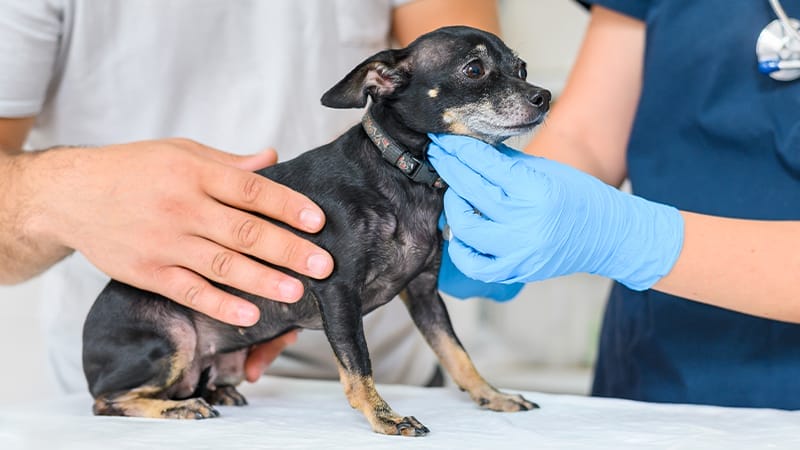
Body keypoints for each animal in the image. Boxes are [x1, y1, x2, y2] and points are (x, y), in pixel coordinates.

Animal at [84, 25, 552, 436]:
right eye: (474, 70)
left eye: (522, 68)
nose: (544, 96)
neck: (404, 175)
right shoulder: (338, 291)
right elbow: (359, 366)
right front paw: (385, 417)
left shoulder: (424, 294)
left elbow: (457, 353)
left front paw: (492, 395)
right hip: (174, 341)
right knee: (105, 401)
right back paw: (176, 408)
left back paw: (215, 393)